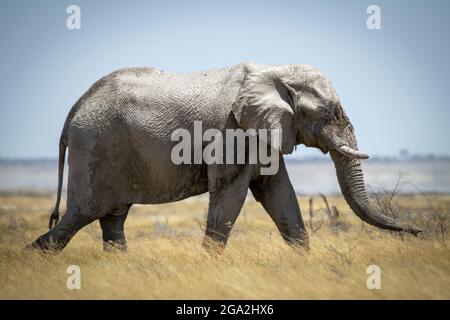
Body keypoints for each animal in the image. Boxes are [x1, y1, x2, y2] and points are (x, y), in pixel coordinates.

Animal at [29, 62, 422, 252]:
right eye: (331, 113)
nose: (418, 231)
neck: (275, 71)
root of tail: (76, 107)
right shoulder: (231, 133)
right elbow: (231, 195)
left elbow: (280, 195)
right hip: (96, 148)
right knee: (82, 215)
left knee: (112, 219)